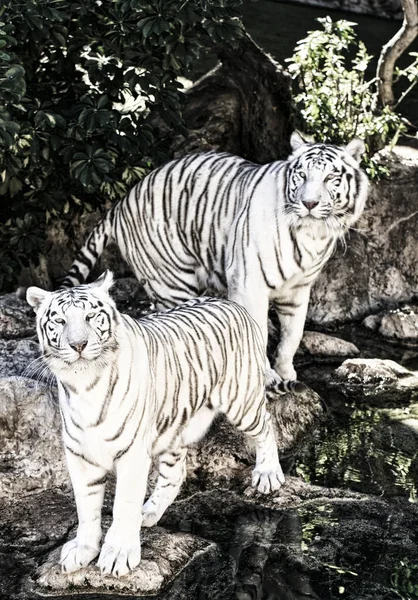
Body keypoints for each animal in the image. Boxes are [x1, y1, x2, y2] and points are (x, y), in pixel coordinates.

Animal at [26, 270, 288, 576]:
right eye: (59, 320)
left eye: (91, 317)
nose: (78, 345)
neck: (85, 385)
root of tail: (230, 303)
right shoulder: (80, 455)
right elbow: (86, 507)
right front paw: (83, 549)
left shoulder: (132, 454)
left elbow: (123, 504)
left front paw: (118, 554)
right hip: (175, 425)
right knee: (176, 473)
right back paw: (148, 512)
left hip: (241, 400)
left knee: (266, 426)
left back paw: (268, 475)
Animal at [59, 133, 370, 382]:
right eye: (302, 176)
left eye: (330, 178)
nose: (309, 203)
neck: (312, 234)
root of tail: (120, 203)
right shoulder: (249, 284)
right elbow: (259, 333)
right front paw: (268, 376)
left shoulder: (298, 289)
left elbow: (292, 334)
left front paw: (286, 372)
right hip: (171, 282)